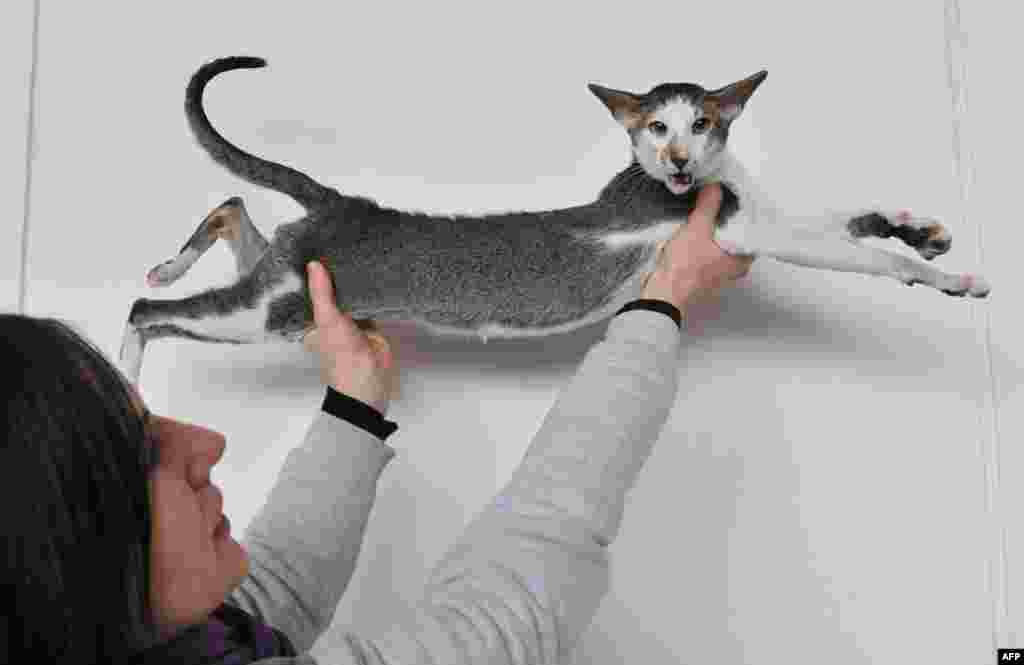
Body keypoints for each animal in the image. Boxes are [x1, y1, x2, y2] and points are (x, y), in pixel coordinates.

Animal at [116, 58, 987, 383]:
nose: (677, 164)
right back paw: (128, 380)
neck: (710, 185)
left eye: (703, 121)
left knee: (232, 210)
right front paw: (949, 276)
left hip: (285, 291)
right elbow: (860, 252)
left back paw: (165, 262)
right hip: (264, 311)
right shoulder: (743, 230)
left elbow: (851, 216)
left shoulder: (762, 215)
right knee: (145, 309)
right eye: (653, 126)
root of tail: (342, 204)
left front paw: (923, 228)